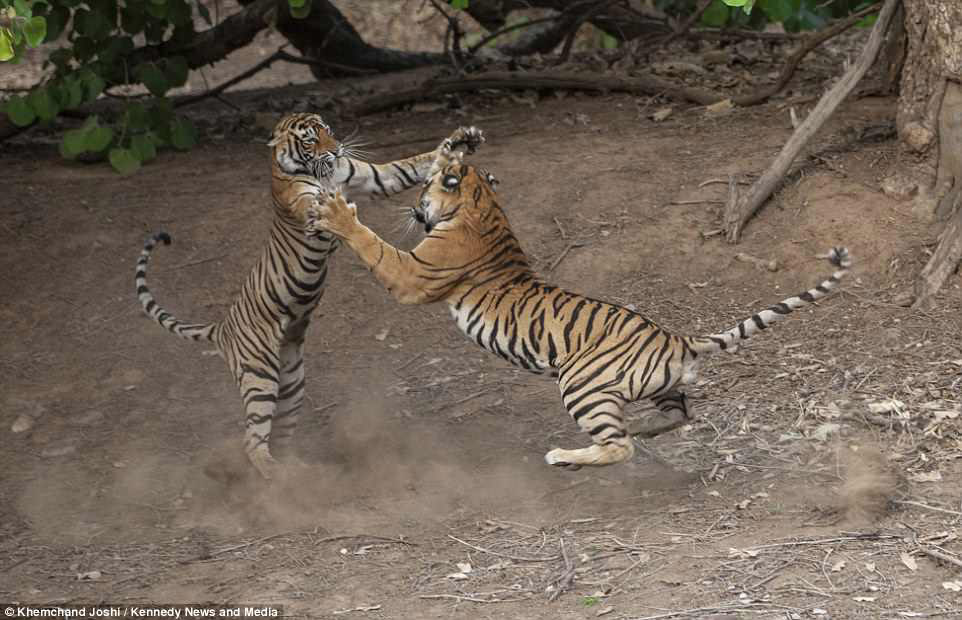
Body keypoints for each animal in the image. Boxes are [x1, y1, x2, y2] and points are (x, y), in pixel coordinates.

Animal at [135, 112, 484, 480]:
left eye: (327, 131)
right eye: (309, 140)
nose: (338, 149)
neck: (322, 171)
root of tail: (223, 326)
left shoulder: (373, 177)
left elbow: (411, 163)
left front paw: (461, 139)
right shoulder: (308, 208)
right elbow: (328, 210)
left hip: (291, 381)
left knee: (279, 431)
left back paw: (296, 468)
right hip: (259, 376)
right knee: (251, 441)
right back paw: (274, 474)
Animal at [304, 149, 852, 470]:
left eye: (425, 189)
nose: (416, 209)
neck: (483, 203)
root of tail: (676, 337)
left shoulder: (412, 275)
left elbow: (371, 244)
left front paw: (337, 213)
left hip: (580, 383)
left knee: (618, 445)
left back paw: (565, 455)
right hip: (654, 388)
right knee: (672, 417)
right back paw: (639, 428)